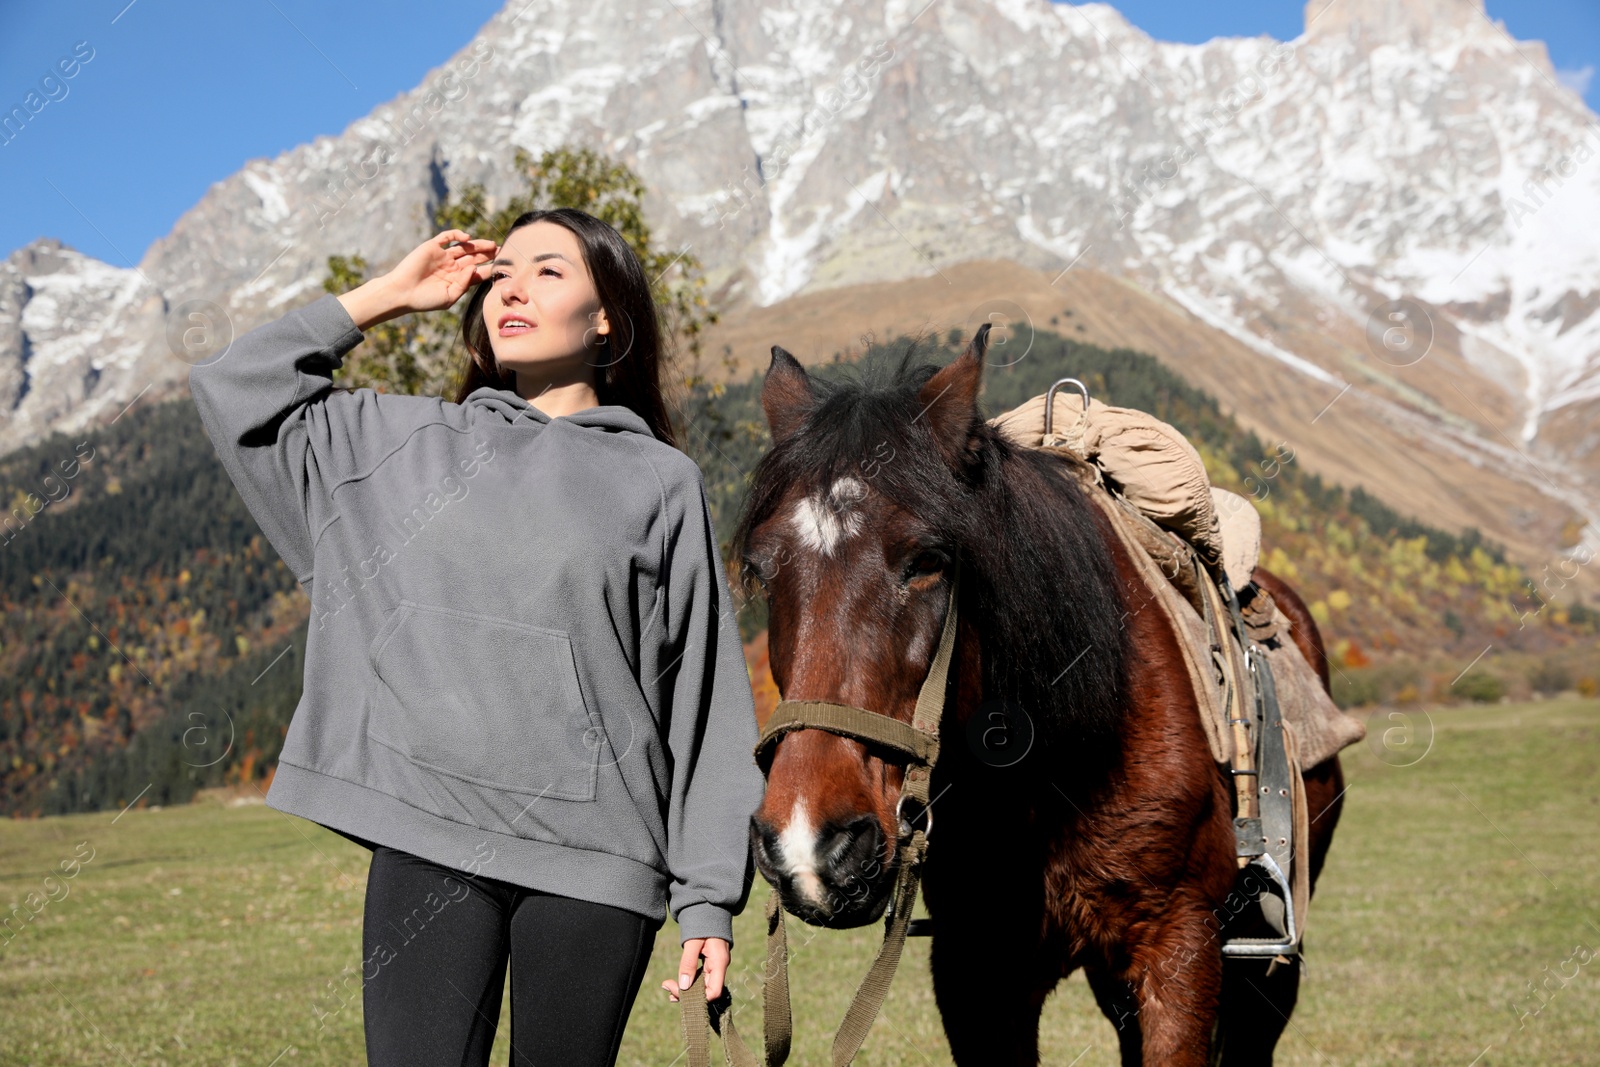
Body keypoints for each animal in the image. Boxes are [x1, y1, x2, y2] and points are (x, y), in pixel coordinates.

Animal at [732, 329, 1344, 1062]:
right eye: (762, 570)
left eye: (928, 560)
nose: (811, 847)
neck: (1061, 763)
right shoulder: (976, 972)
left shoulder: (1182, 953)